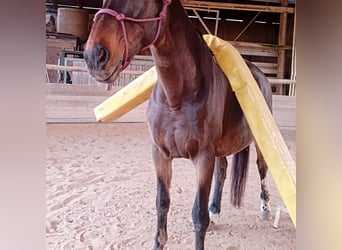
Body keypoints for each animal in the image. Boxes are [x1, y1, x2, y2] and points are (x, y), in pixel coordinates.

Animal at [85, 0, 272, 249]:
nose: (94, 56)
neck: (177, 97)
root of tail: (261, 76)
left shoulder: (203, 157)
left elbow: (198, 215)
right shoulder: (160, 155)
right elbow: (162, 203)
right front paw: (159, 243)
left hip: (259, 144)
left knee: (262, 168)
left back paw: (265, 209)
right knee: (222, 171)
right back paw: (216, 211)